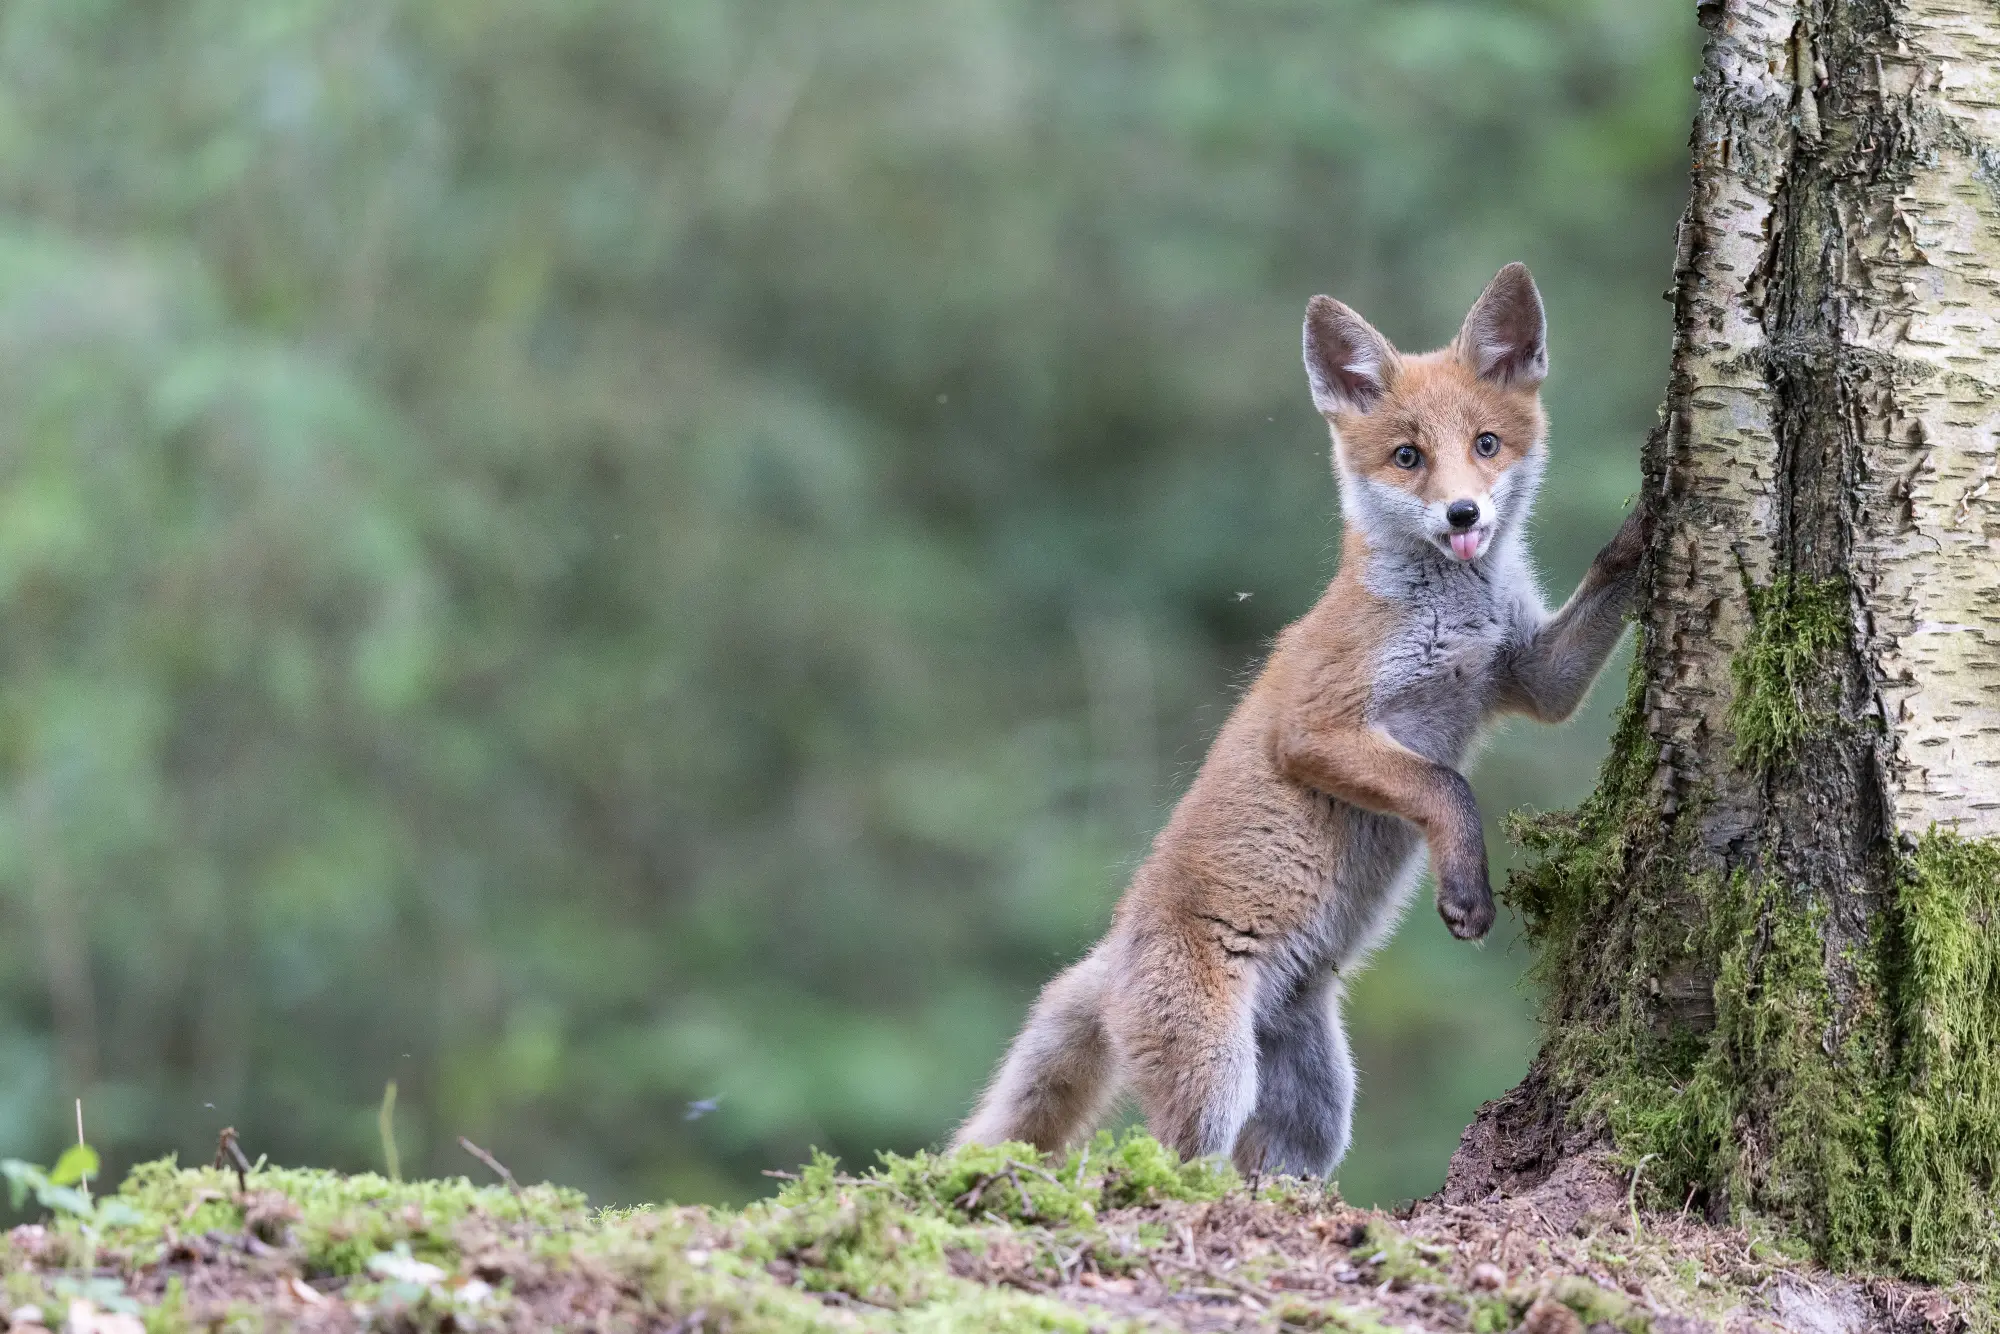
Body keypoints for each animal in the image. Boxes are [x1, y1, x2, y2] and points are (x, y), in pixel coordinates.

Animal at [954, 263, 1644, 1177]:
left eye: (1487, 444)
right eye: (1407, 457)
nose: (1463, 515)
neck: (1454, 611)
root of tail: (1108, 952)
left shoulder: (1529, 677)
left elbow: (1597, 597)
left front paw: (1653, 520)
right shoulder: (1318, 729)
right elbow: (1446, 784)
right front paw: (1466, 889)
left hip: (1313, 1106)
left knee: (1274, 1171)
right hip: (1214, 1080)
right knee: (1155, 1165)